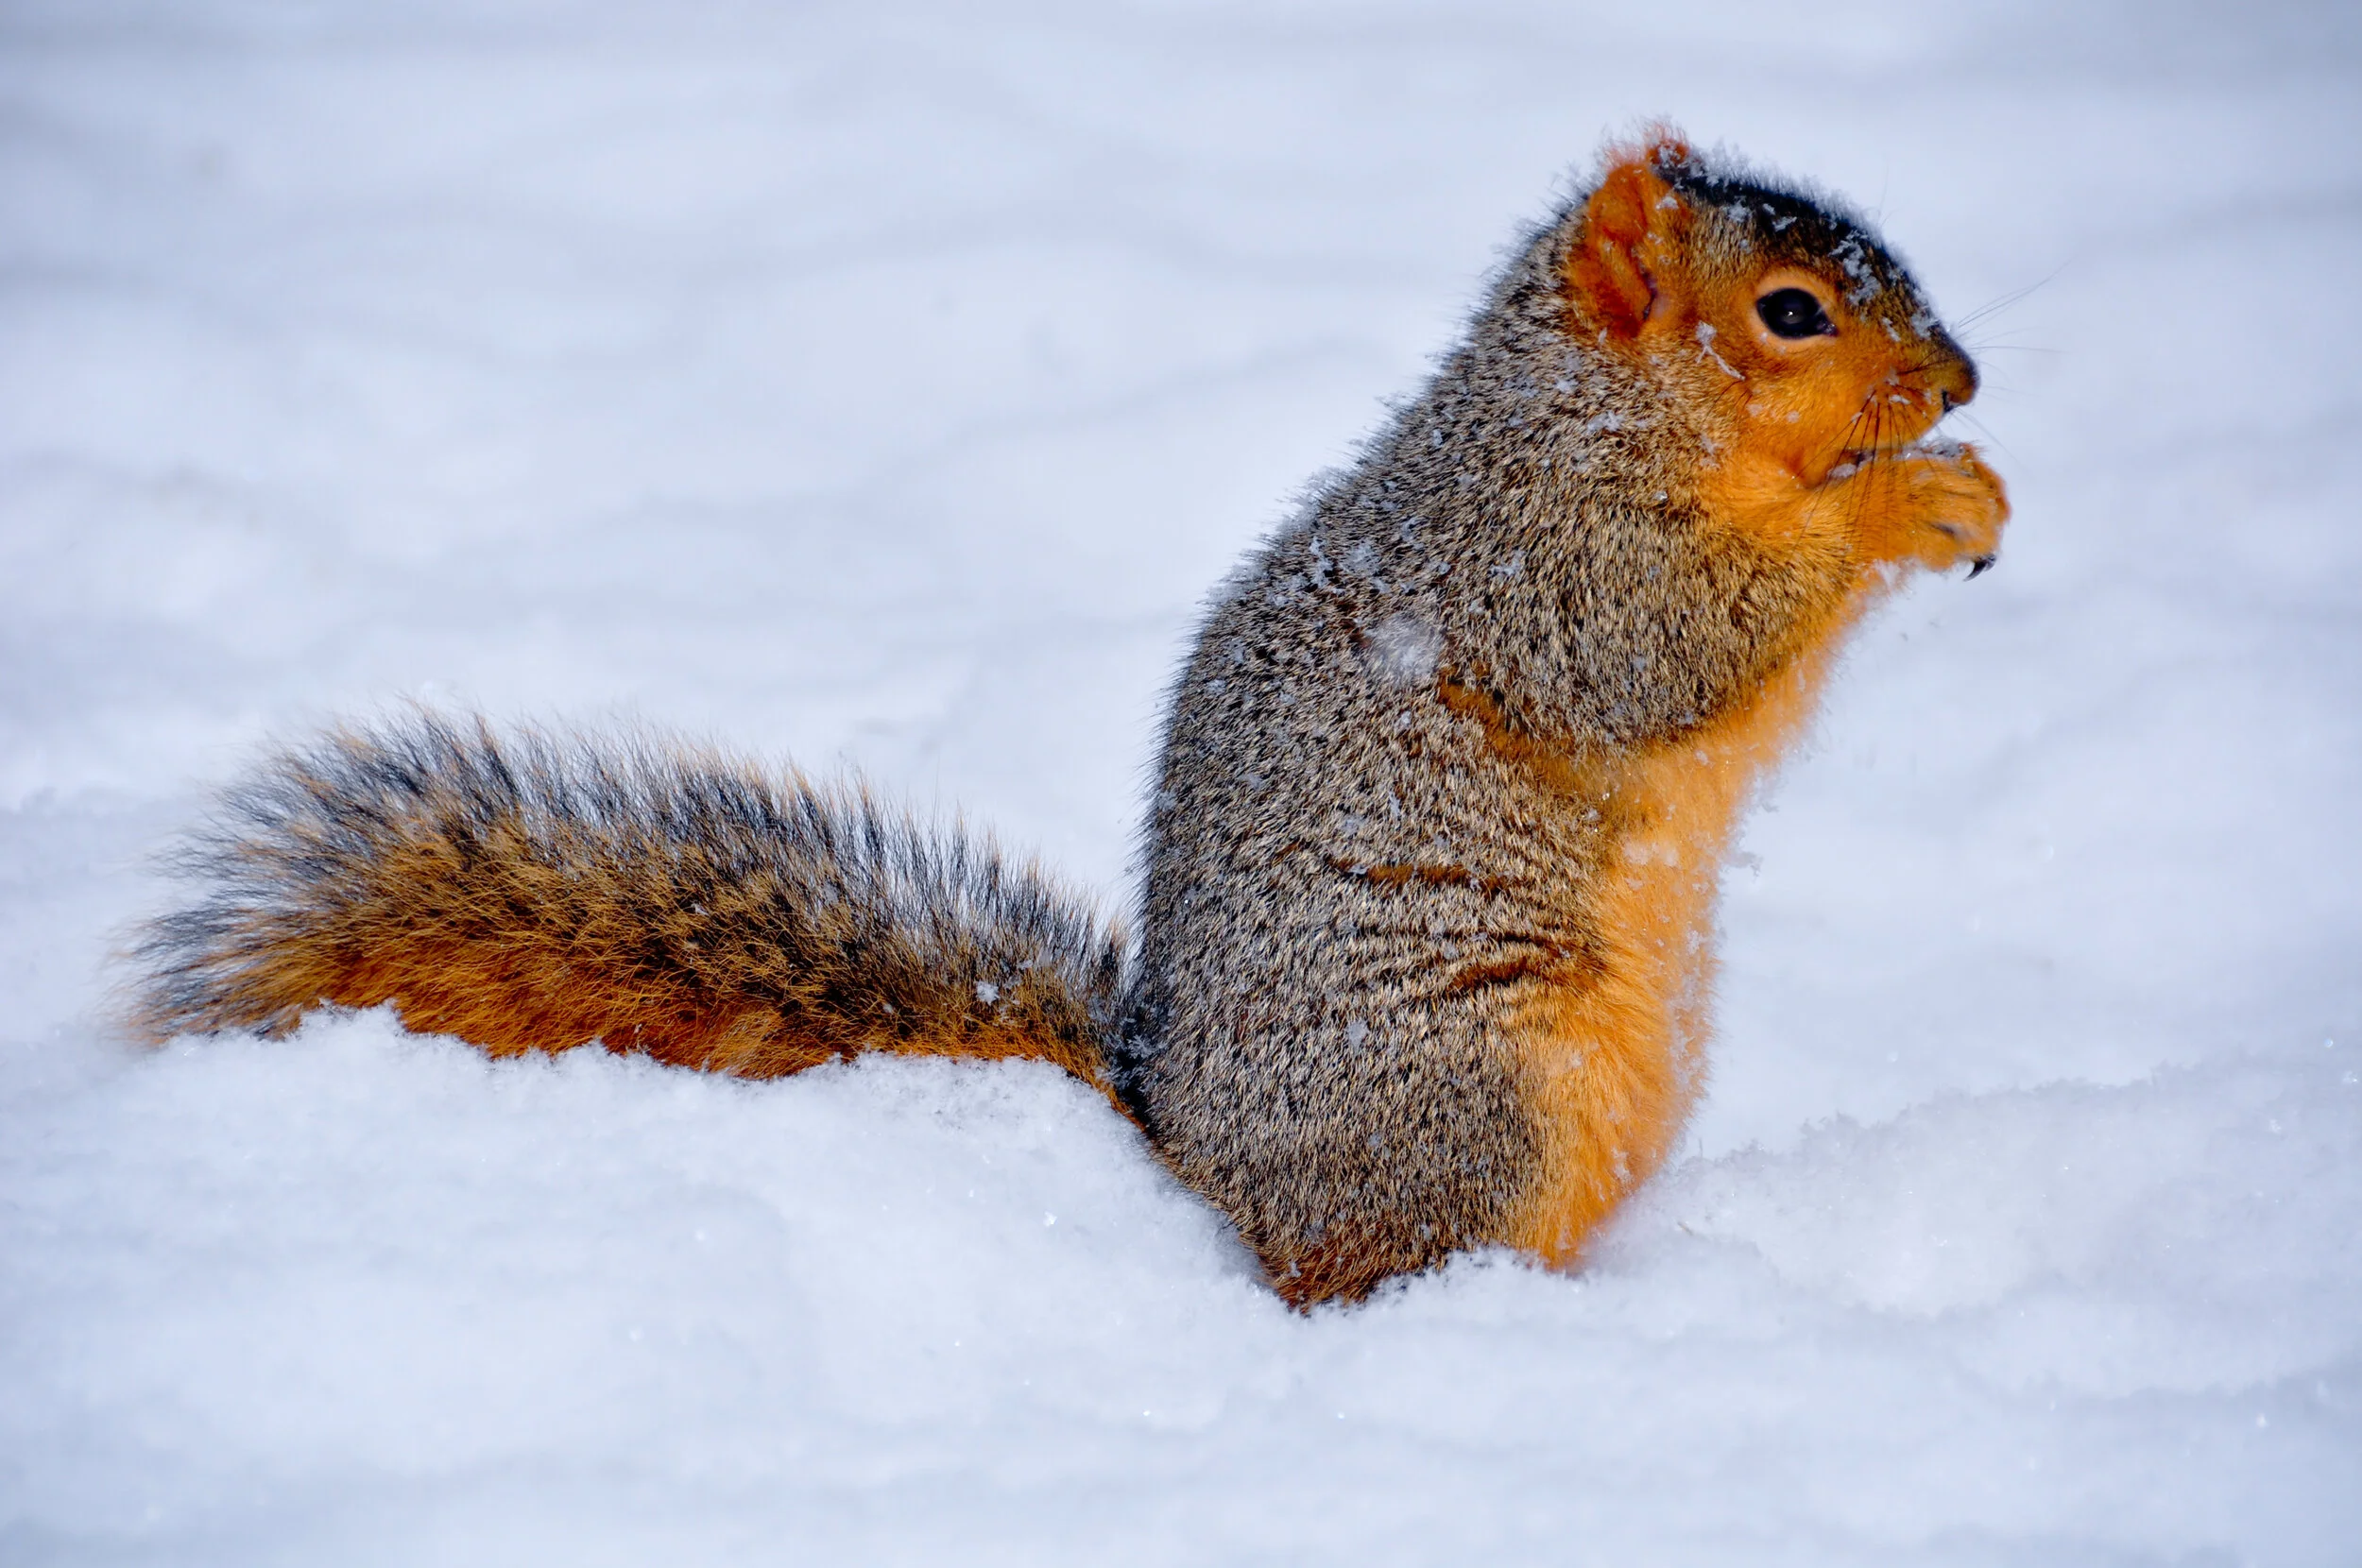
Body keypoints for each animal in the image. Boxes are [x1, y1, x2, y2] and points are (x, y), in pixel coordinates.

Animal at [132, 130, 2007, 1309]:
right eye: (1790, 311)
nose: (1962, 382)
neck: (1588, 408)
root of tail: (1190, 1157)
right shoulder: (1535, 557)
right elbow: (1668, 643)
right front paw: (1911, 502)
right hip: (1468, 1089)